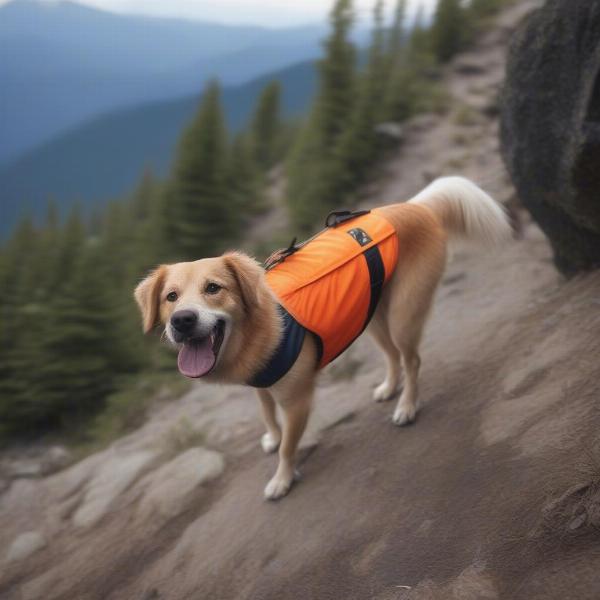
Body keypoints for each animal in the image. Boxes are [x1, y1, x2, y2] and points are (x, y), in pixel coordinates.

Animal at [134, 176, 508, 500]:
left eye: (213, 288)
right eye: (170, 297)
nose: (182, 321)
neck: (257, 328)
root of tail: (415, 207)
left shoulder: (297, 400)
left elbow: (289, 446)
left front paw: (282, 479)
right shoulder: (262, 387)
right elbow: (268, 415)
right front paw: (272, 437)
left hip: (403, 316)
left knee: (412, 359)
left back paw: (406, 407)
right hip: (371, 315)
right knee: (392, 356)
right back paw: (389, 388)